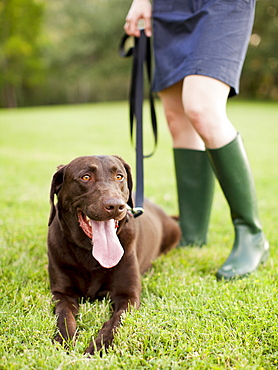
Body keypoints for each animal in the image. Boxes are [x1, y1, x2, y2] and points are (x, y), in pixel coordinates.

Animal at [47, 155, 180, 354]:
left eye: (119, 177)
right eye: (85, 177)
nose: (116, 205)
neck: (89, 253)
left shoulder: (128, 296)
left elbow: (116, 322)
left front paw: (99, 347)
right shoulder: (61, 293)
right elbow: (64, 316)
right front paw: (64, 341)